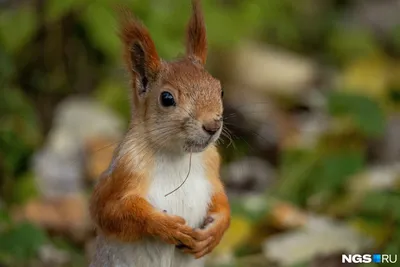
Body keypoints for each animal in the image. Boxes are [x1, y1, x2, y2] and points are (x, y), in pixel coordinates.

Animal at [87, 0, 231, 267]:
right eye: (167, 98)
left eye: (221, 90)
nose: (212, 126)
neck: (178, 156)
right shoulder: (124, 169)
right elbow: (107, 211)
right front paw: (164, 225)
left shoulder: (211, 166)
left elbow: (221, 201)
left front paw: (215, 232)